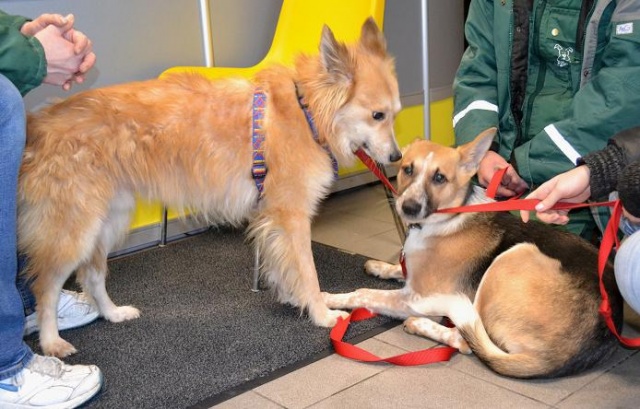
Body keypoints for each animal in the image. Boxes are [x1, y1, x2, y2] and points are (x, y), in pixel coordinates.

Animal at [18, 18, 402, 357]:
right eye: (377, 115)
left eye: (395, 114)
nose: (397, 158)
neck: (306, 110)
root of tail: (37, 122)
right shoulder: (291, 216)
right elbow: (307, 271)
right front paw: (321, 313)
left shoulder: (275, 220)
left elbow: (287, 268)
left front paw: (298, 300)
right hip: (72, 230)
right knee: (45, 288)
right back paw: (52, 342)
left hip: (108, 221)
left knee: (92, 274)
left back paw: (112, 313)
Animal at [323, 128, 624, 378]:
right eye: (407, 169)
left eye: (439, 177)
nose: (407, 208)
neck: (447, 218)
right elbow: (400, 267)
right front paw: (378, 266)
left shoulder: (416, 297)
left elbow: (363, 293)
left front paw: (329, 300)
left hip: (511, 259)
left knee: (464, 340)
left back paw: (419, 324)